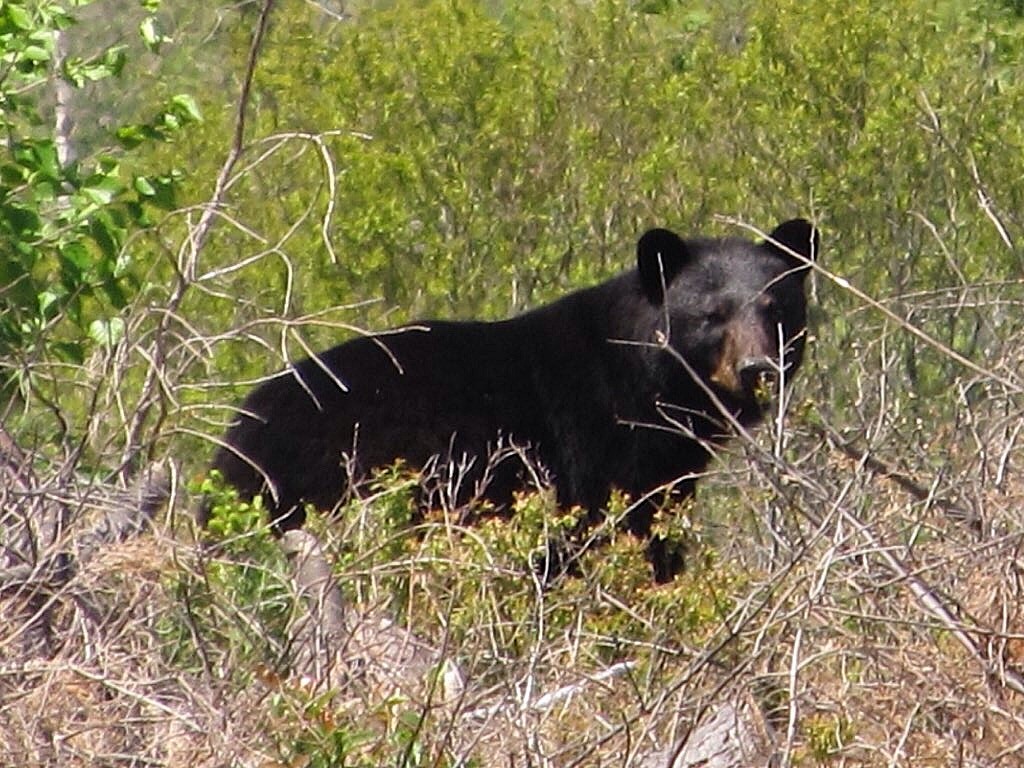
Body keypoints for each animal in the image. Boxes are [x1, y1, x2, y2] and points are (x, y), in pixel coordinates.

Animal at [203, 218, 819, 581]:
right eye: (712, 315)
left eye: (776, 307)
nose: (757, 369)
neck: (646, 384)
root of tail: (230, 448)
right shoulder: (596, 446)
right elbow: (615, 532)